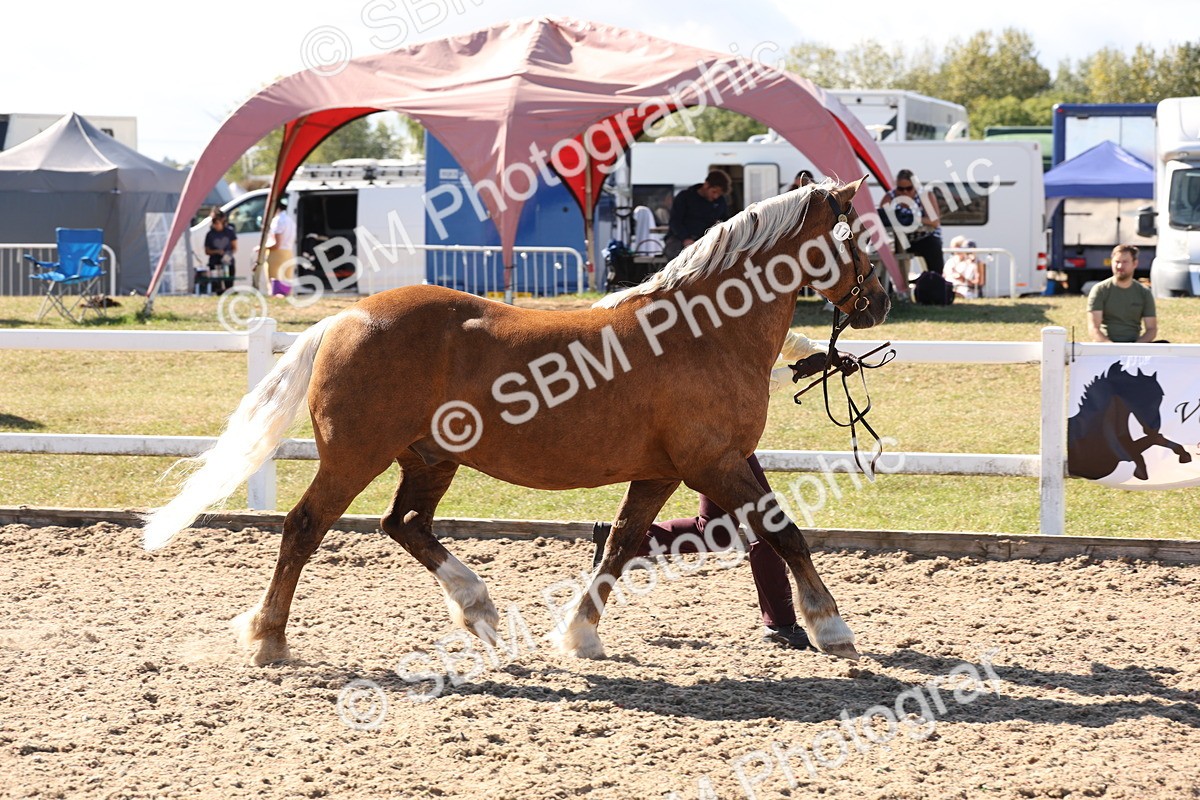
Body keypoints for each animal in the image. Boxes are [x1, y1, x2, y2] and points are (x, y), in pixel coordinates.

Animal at [143, 178, 890, 665]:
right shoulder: (716, 463)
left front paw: (580, 635)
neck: (704, 331)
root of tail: (345, 315)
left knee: (403, 524)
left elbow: (621, 545)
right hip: (356, 456)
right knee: (305, 527)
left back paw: (478, 608)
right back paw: (269, 639)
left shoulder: (660, 472)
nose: (881, 299)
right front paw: (832, 627)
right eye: (857, 235)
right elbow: (785, 533)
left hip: (429, 458)